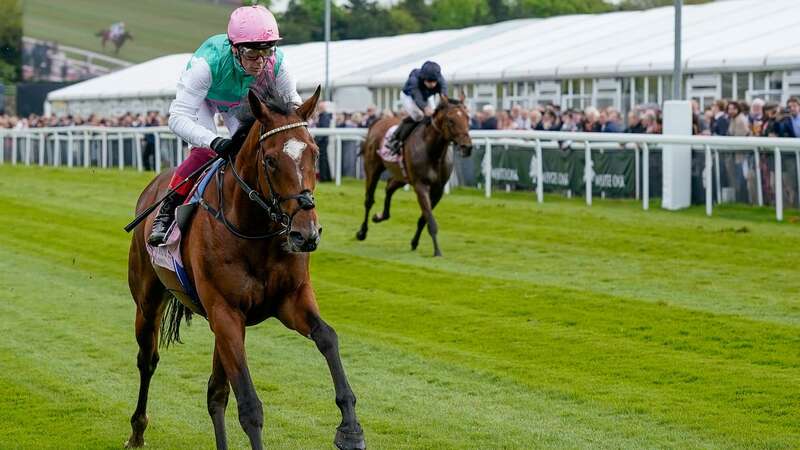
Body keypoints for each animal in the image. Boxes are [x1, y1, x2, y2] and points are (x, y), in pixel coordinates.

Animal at [125, 85, 366, 450]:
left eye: (314, 153)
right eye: (270, 160)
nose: (306, 233)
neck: (254, 231)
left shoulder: (290, 299)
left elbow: (328, 337)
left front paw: (350, 428)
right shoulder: (226, 312)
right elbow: (249, 405)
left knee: (215, 393)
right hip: (149, 299)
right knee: (148, 360)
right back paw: (137, 432)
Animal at [354, 94, 468, 256]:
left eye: (467, 118)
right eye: (451, 120)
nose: (467, 146)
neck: (433, 152)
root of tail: (378, 122)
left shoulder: (438, 190)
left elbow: (424, 218)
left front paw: (415, 242)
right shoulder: (420, 185)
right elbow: (430, 219)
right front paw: (437, 251)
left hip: (402, 176)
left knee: (389, 186)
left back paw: (381, 216)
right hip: (372, 168)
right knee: (369, 200)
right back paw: (362, 232)